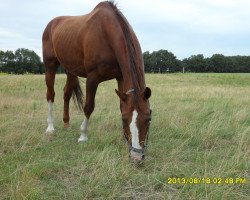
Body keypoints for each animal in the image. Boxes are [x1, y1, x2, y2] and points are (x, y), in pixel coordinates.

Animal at [42, 0, 151, 162]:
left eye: (149, 118)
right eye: (125, 119)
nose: (137, 157)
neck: (105, 33)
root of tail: (51, 23)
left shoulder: (121, 77)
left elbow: (121, 105)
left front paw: (123, 137)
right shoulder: (92, 78)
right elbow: (88, 106)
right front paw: (83, 135)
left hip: (71, 69)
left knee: (66, 93)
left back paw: (66, 123)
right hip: (50, 65)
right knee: (51, 94)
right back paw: (50, 127)